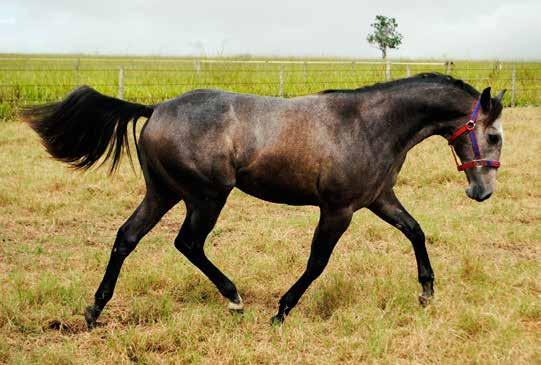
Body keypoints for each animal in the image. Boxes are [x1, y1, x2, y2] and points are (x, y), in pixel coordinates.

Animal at [23, 72, 504, 326]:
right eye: (495, 136)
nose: (481, 192)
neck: (368, 125)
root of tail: (155, 108)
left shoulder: (378, 198)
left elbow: (415, 231)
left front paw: (426, 292)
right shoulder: (338, 210)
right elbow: (317, 263)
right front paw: (281, 311)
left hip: (163, 193)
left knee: (127, 237)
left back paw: (94, 309)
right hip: (206, 196)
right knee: (187, 243)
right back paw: (234, 298)